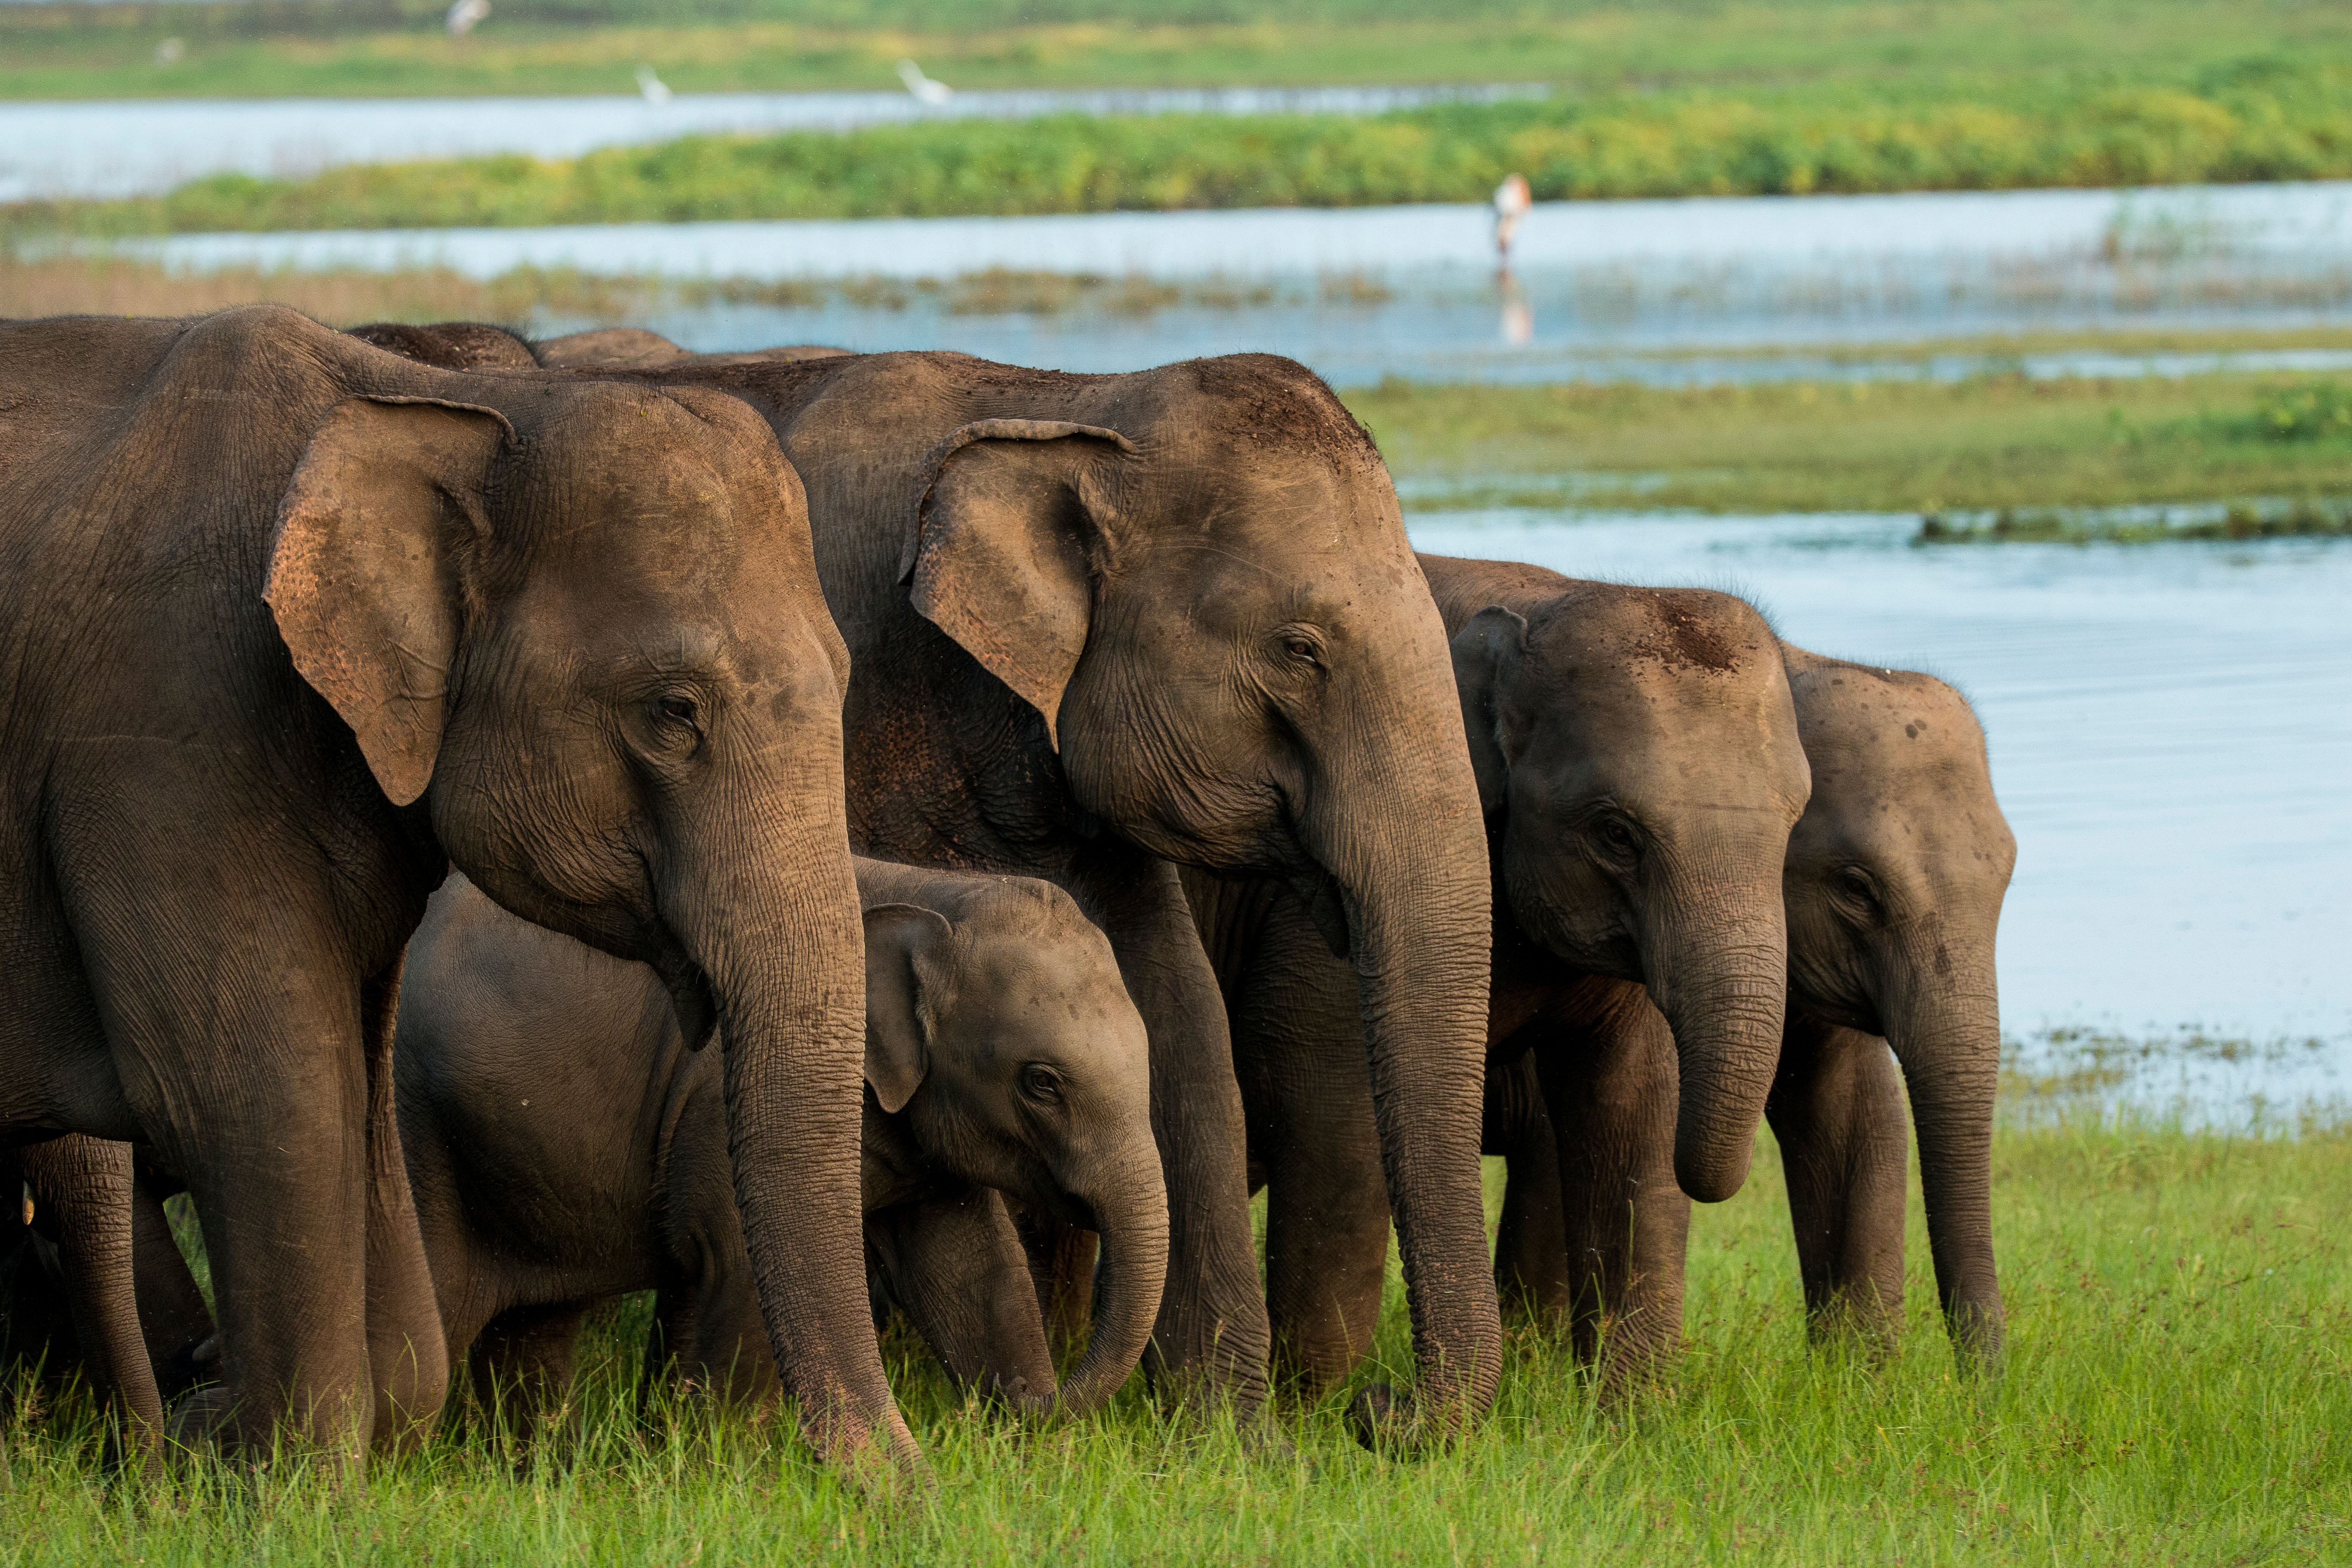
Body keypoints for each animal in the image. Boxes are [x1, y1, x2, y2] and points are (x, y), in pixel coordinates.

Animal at [0, 306, 898, 1476]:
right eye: (672, 712)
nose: (911, 1490)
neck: (449, 407)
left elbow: (357, 1087)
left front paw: (244, 1445)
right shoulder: (162, 734)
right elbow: (255, 1092)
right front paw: (272, 1473)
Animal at [395, 865, 1167, 1429]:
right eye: (1042, 1082)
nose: (1028, 1398)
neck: (935, 889)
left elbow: (973, 1269)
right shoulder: (724, 1109)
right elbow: (736, 1268)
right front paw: (719, 1475)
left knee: (535, 1328)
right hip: (423, 1138)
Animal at [1486, 644, 2022, 1363]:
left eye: (2007, 874)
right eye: (1857, 888)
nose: (1985, 1381)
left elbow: (1856, 1108)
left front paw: (1859, 1379)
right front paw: (1533, 1366)